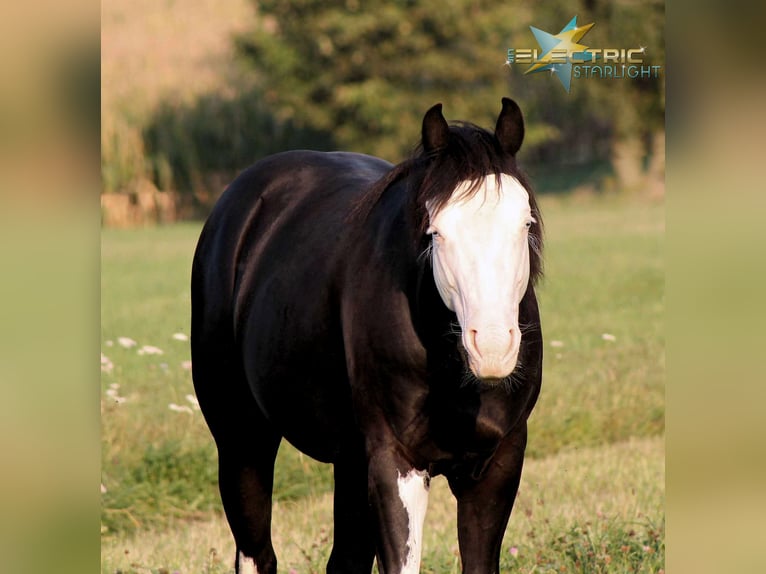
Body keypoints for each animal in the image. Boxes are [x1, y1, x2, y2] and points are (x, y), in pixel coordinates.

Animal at [195, 97, 548, 572]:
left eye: (525, 223)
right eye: (436, 232)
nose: (492, 347)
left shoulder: (498, 464)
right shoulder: (395, 466)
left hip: (348, 463)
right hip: (241, 440)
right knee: (256, 554)